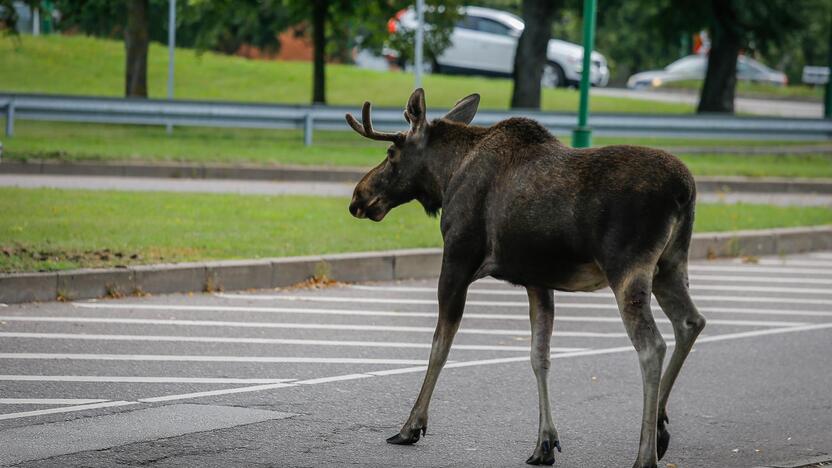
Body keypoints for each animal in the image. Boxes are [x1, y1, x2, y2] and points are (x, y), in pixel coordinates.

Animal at [348, 88, 704, 468]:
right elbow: (539, 355)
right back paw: (662, 427)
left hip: (628, 268)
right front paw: (544, 442)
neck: (447, 176)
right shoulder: (538, 280)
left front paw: (411, 426)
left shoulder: (458, 258)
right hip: (671, 264)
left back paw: (645, 455)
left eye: (390, 153)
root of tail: (685, 190)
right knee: (690, 322)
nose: (357, 197)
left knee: (652, 345)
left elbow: (439, 346)